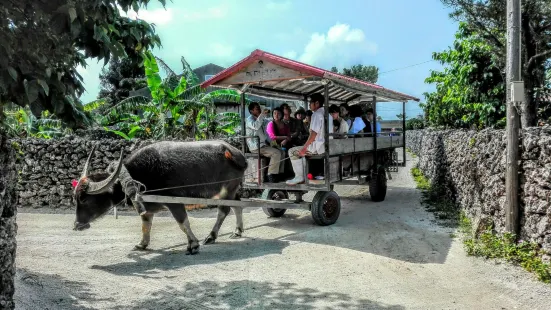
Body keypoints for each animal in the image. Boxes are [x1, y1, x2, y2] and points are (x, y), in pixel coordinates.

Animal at [73, 140, 248, 254]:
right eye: (75, 198)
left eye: (84, 199)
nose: (77, 225)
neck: (137, 175)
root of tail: (236, 154)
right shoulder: (146, 206)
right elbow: (145, 225)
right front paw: (142, 244)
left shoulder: (174, 202)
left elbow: (182, 223)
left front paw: (193, 244)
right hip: (231, 191)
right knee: (237, 205)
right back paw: (238, 231)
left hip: (227, 190)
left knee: (224, 210)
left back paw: (211, 236)